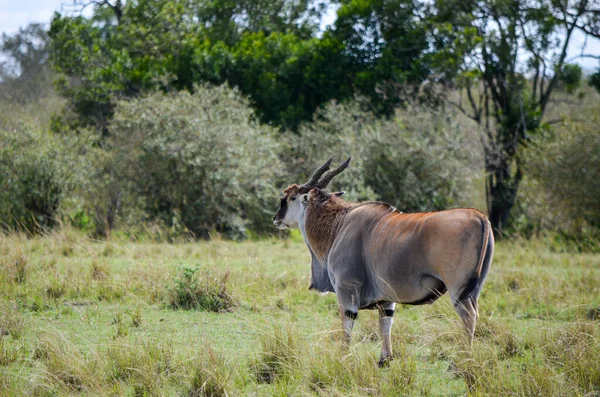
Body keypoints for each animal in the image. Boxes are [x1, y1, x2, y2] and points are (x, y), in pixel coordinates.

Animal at [274, 156, 494, 366]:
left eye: (291, 197)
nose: (276, 218)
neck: (339, 224)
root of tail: (480, 216)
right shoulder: (386, 299)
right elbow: (385, 324)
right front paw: (384, 360)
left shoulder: (347, 290)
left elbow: (347, 325)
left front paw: (343, 357)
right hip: (474, 290)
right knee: (474, 314)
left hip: (458, 290)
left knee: (468, 316)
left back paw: (461, 362)